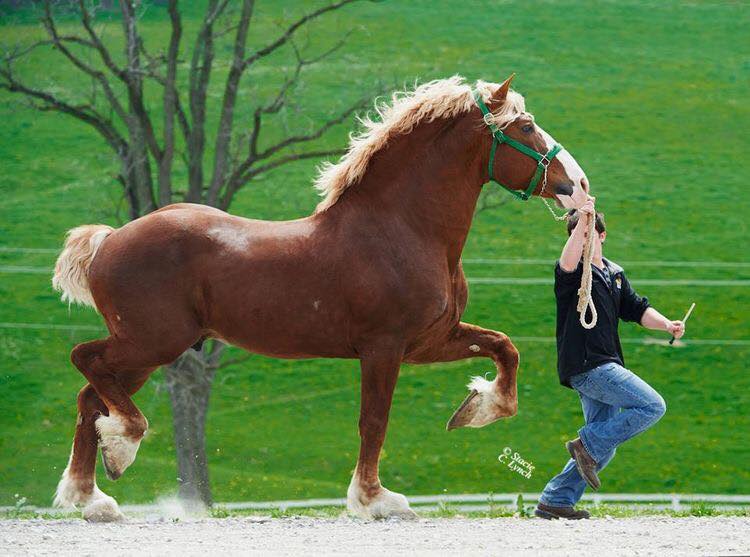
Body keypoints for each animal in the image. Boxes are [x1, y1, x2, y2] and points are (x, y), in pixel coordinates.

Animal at [53, 75, 592, 520]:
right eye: (526, 126)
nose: (579, 186)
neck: (402, 230)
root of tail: (108, 240)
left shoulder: (429, 342)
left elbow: (505, 348)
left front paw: (478, 408)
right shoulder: (383, 347)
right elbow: (374, 421)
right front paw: (376, 500)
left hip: (146, 351)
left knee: (90, 397)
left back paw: (92, 499)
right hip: (151, 342)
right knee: (86, 363)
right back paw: (121, 446)